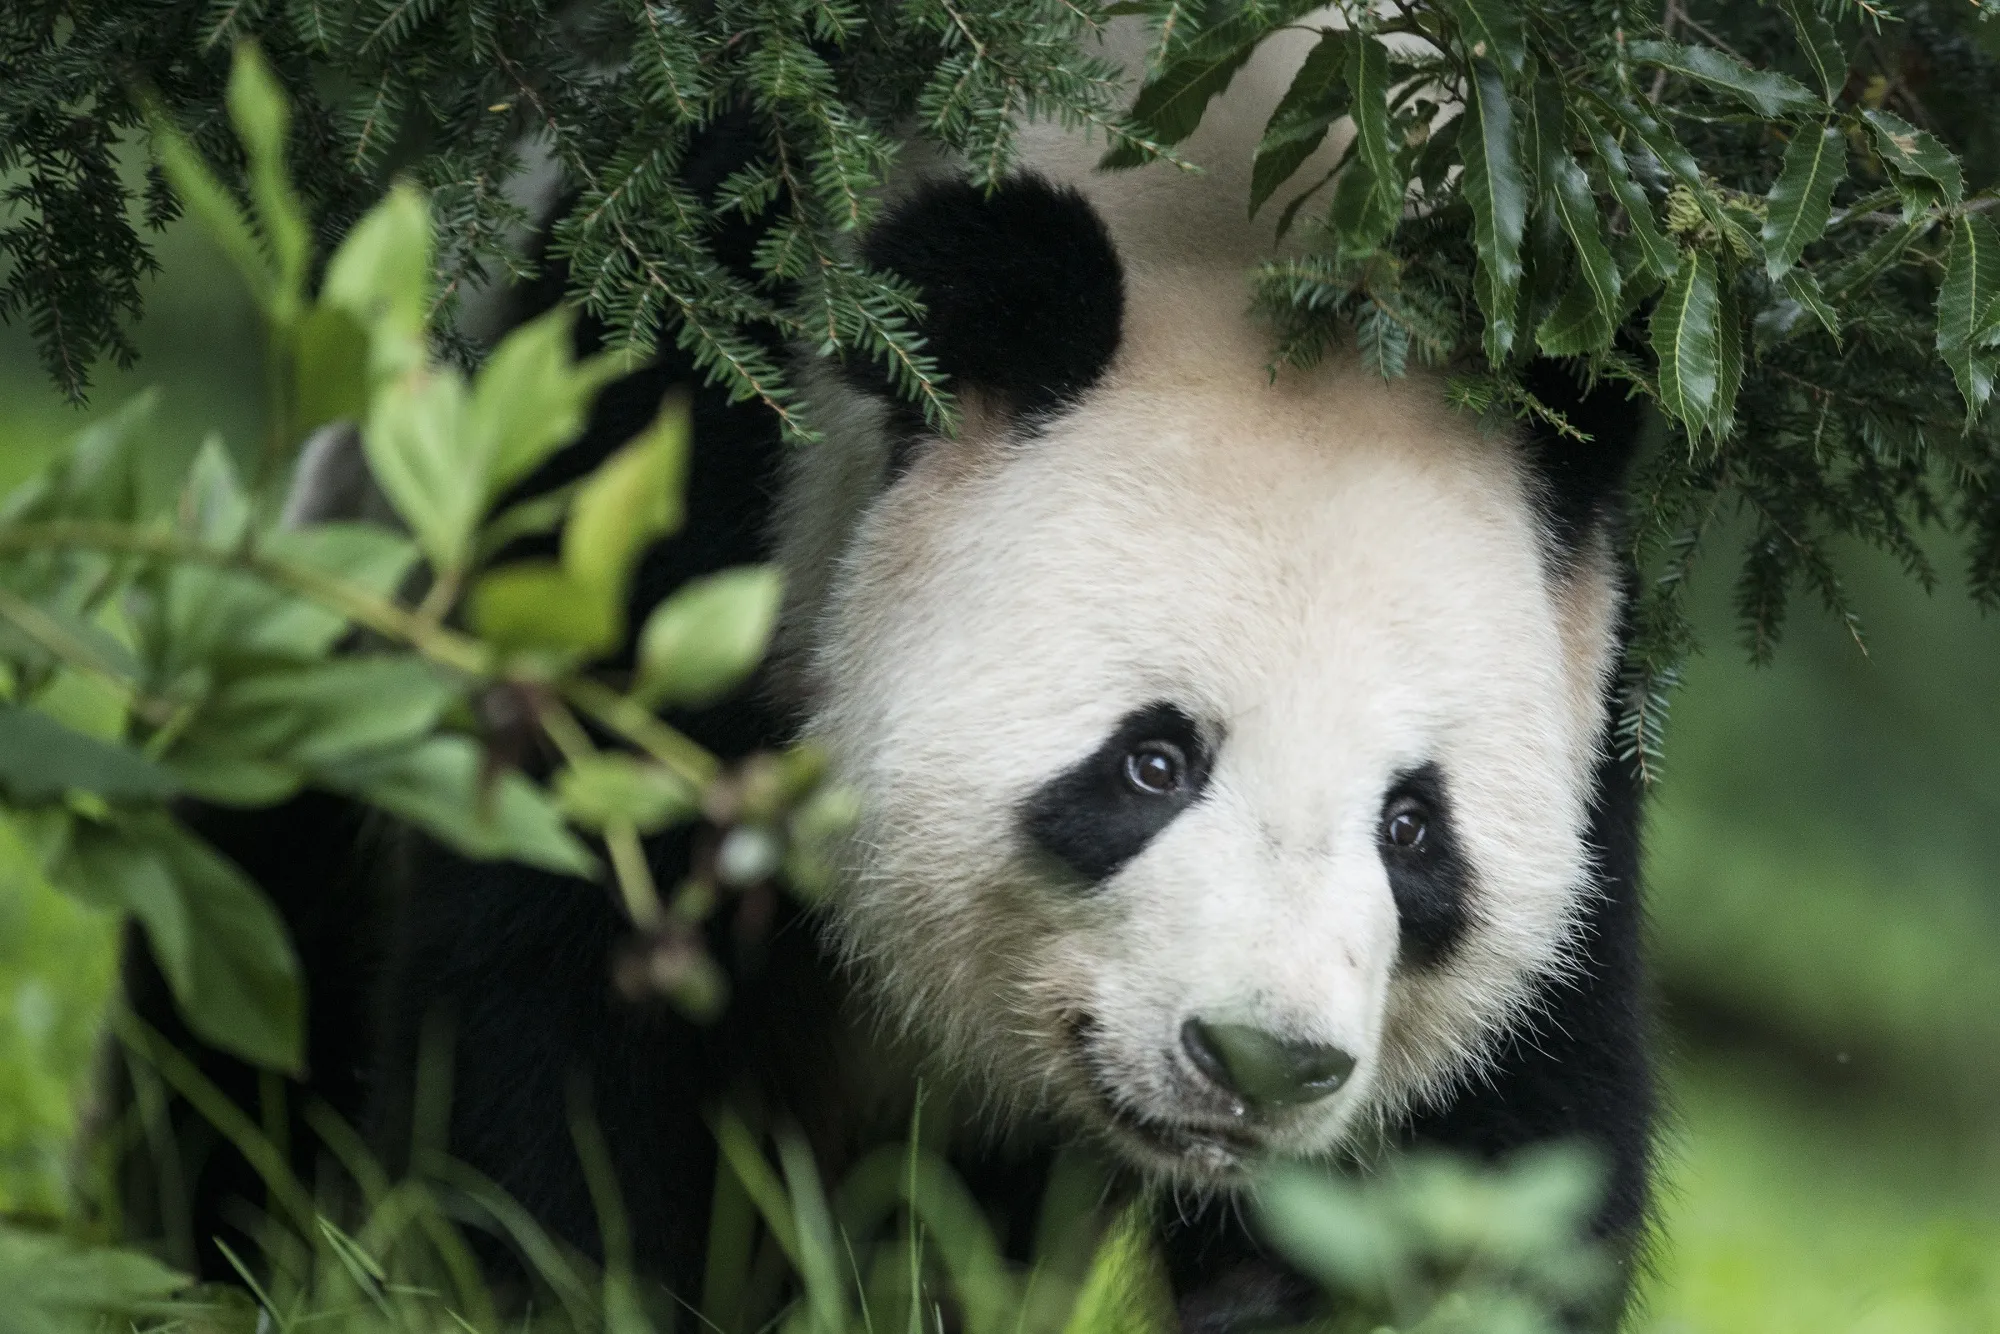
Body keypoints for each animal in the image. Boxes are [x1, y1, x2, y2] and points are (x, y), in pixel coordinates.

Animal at [116, 16, 1653, 1332]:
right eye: (1152, 760)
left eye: (1413, 827)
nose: (1262, 1058)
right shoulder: (693, 454)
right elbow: (556, 993)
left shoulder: (1600, 695)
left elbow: (1498, 1156)